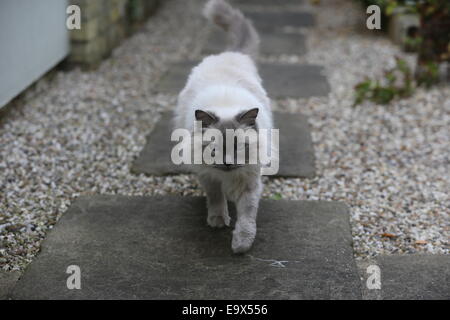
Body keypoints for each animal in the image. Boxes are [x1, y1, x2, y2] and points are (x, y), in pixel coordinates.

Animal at [172, 0, 272, 252]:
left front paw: (240, 246)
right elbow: (216, 198)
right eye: (214, 148)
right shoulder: (210, 177)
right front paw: (217, 221)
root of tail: (231, 54)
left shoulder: (249, 183)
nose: (227, 162)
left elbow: (247, 218)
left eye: (238, 147)